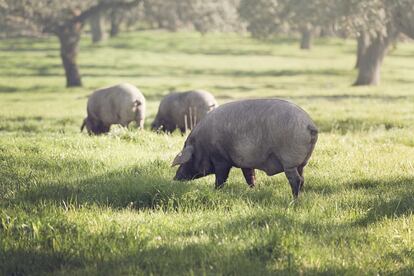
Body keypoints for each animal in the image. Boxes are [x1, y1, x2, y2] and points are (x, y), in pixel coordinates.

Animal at [171, 99, 316, 198]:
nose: (174, 178)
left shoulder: (221, 160)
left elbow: (221, 178)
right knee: (302, 178)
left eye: (187, 161)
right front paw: (254, 190)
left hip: (289, 160)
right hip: (301, 163)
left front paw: (216, 191)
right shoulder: (245, 163)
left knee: (296, 180)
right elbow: (250, 177)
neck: (201, 145)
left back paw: (294, 200)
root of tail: (310, 125)